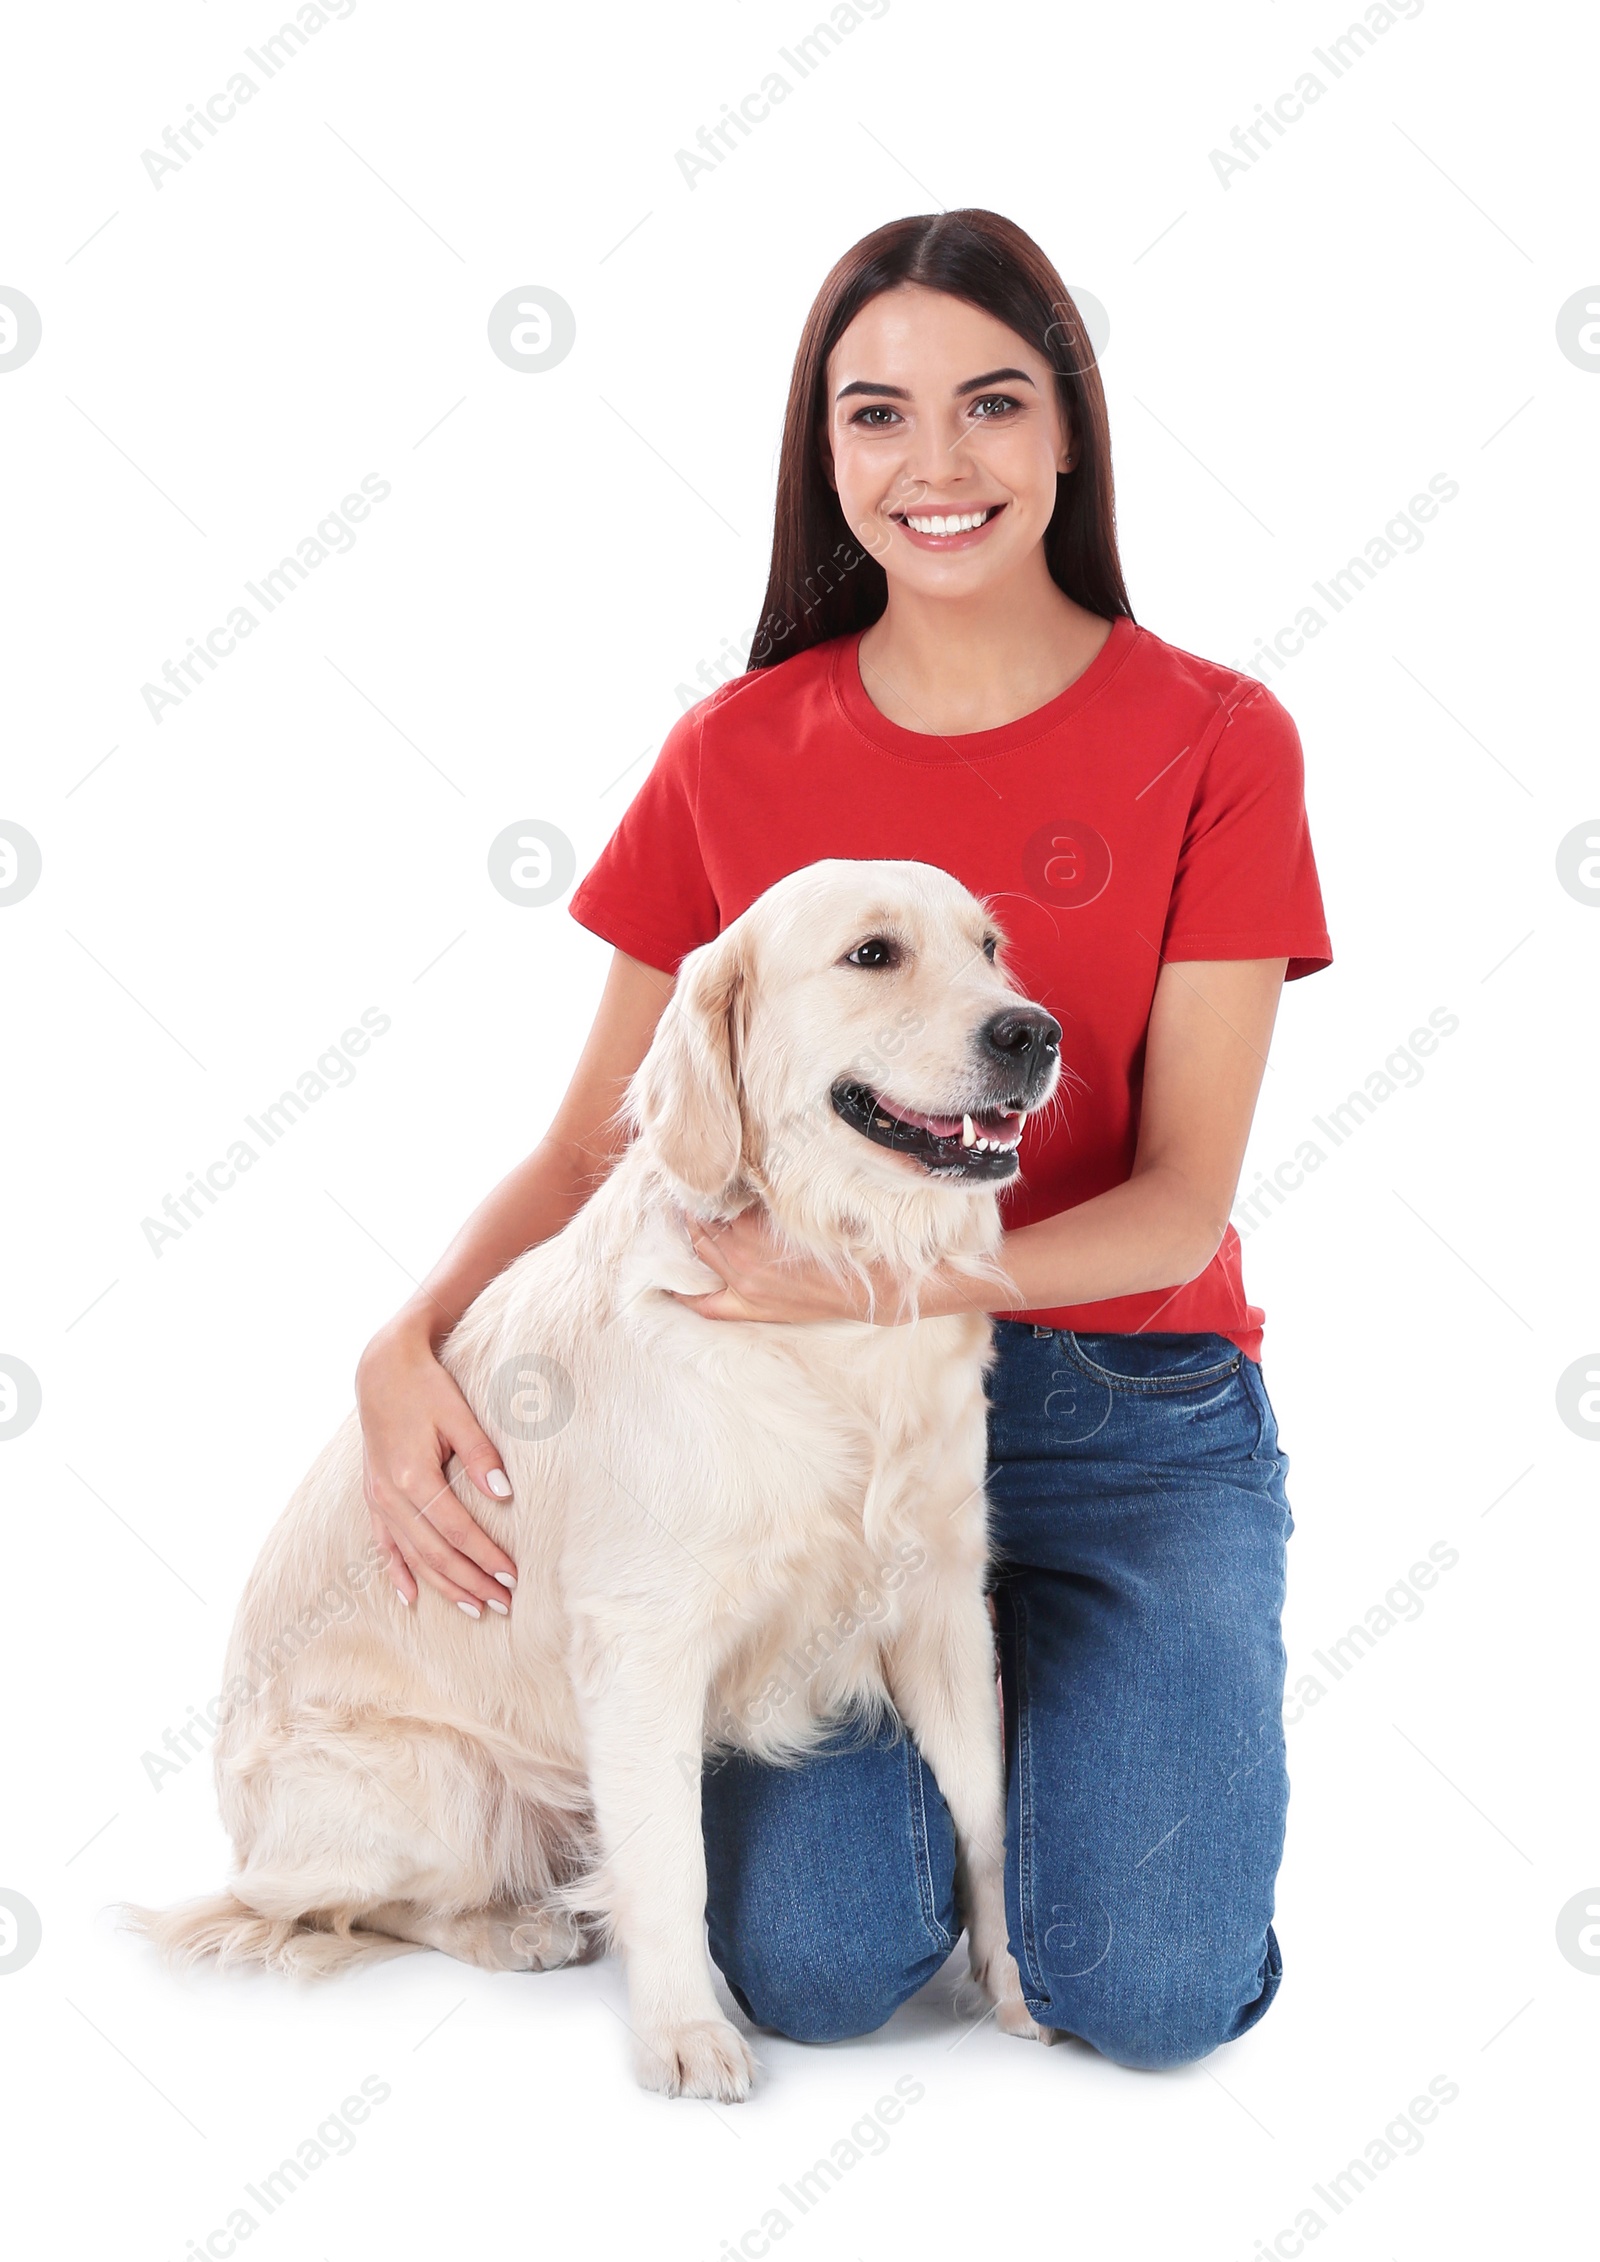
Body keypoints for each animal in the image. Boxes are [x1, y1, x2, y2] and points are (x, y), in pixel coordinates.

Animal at [131, 855, 1063, 2090]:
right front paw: (683, 2036)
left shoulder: (942, 1600)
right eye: (873, 954)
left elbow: (989, 1812)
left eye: (992, 948)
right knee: (323, 1908)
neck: (835, 1297)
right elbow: (668, 1862)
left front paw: (1015, 1982)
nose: (1035, 1032)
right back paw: (511, 1926)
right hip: (439, 1780)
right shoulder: (641, 1640)